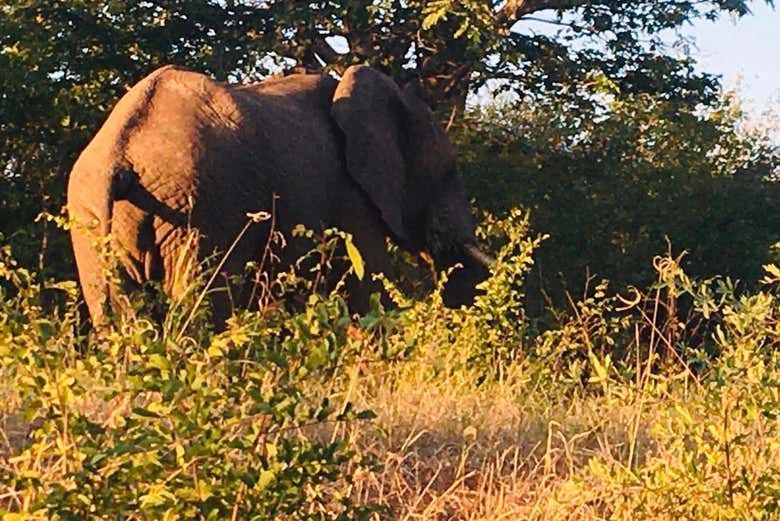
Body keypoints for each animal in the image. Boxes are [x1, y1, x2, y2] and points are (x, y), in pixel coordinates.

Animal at [67, 64, 493, 324]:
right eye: (449, 171)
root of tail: (121, 151)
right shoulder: (350, 193)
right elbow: (367, 282)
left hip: (91, 217)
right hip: (202, 206)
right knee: (200, 305)